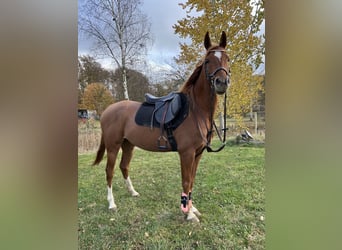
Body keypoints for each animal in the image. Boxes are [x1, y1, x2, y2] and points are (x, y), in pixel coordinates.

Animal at [92, 31, 230, 223]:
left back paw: (133, 192)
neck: (195, 111)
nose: (221, 82)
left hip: (128, 144)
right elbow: (186, 181)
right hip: (113, 146)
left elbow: (192, 181)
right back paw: (112, 204)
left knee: (124, 166)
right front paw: (188, 214)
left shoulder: (198, 154)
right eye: (207, 61)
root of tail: (107, 110)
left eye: (228, 59)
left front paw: (192, 209)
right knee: (109, 171)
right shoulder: (186, 153)